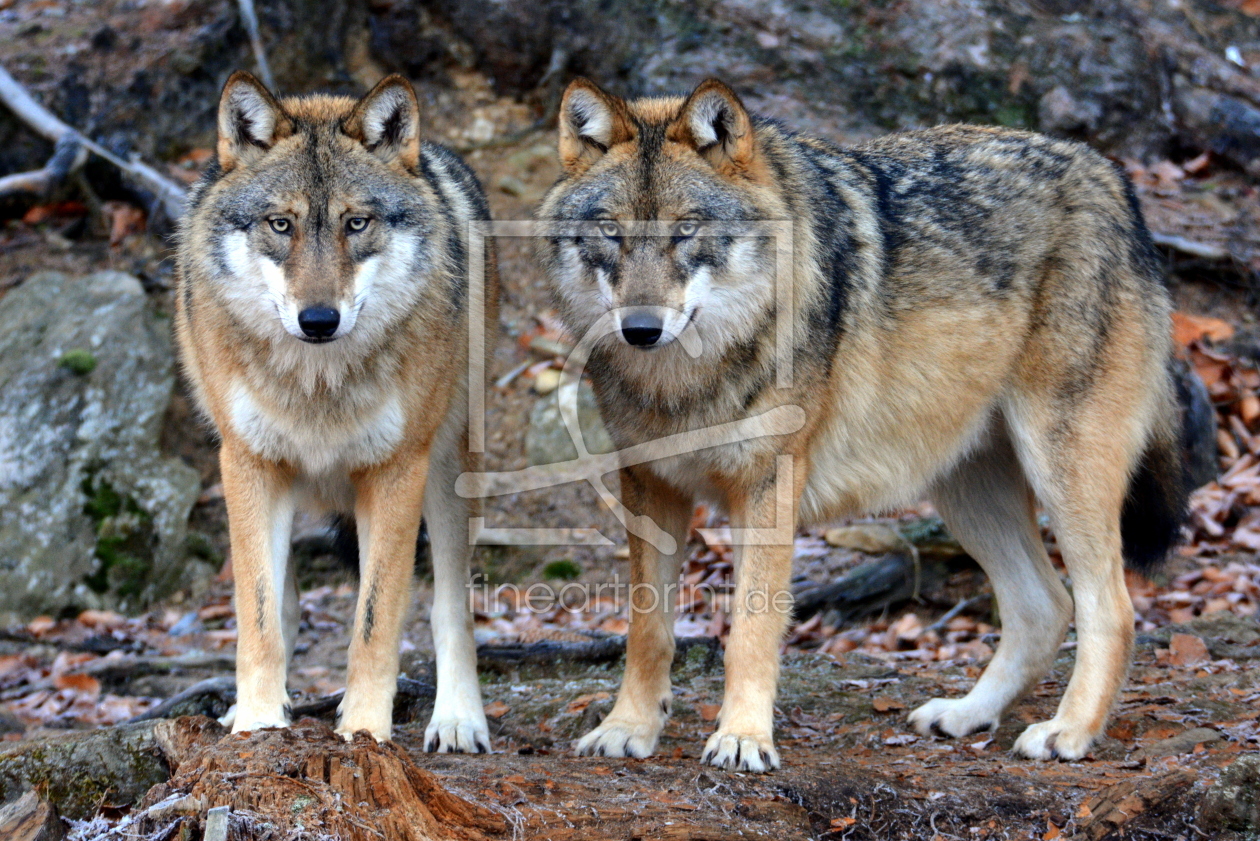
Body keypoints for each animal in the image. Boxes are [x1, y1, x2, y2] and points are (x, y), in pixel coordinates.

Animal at [176, 74, 496, 756]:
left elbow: (376, 620)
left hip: (446, 475)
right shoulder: (247, 462)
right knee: (284, 604)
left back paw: (458, 717)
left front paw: (365, 730)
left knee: (449, 606)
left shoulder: (396, 471)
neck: (318, 384)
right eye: (280, 224)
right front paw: (257, 723)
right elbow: (260, 616)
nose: (318, 320)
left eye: (356, 223)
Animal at [536, 77, 1184, 771]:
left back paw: (1069, 731)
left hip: (1060, 471)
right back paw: (967, 714)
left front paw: (742, 738)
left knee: (1111, 609)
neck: (682, 383)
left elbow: (751, 630)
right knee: (1045, 607)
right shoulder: (649, 485)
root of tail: (1108, 174)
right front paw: (629, 726)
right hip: (968, 489)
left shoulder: (767, 489)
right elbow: (647, 627)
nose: (640, 329)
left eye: (687, 231)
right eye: (611, 232)